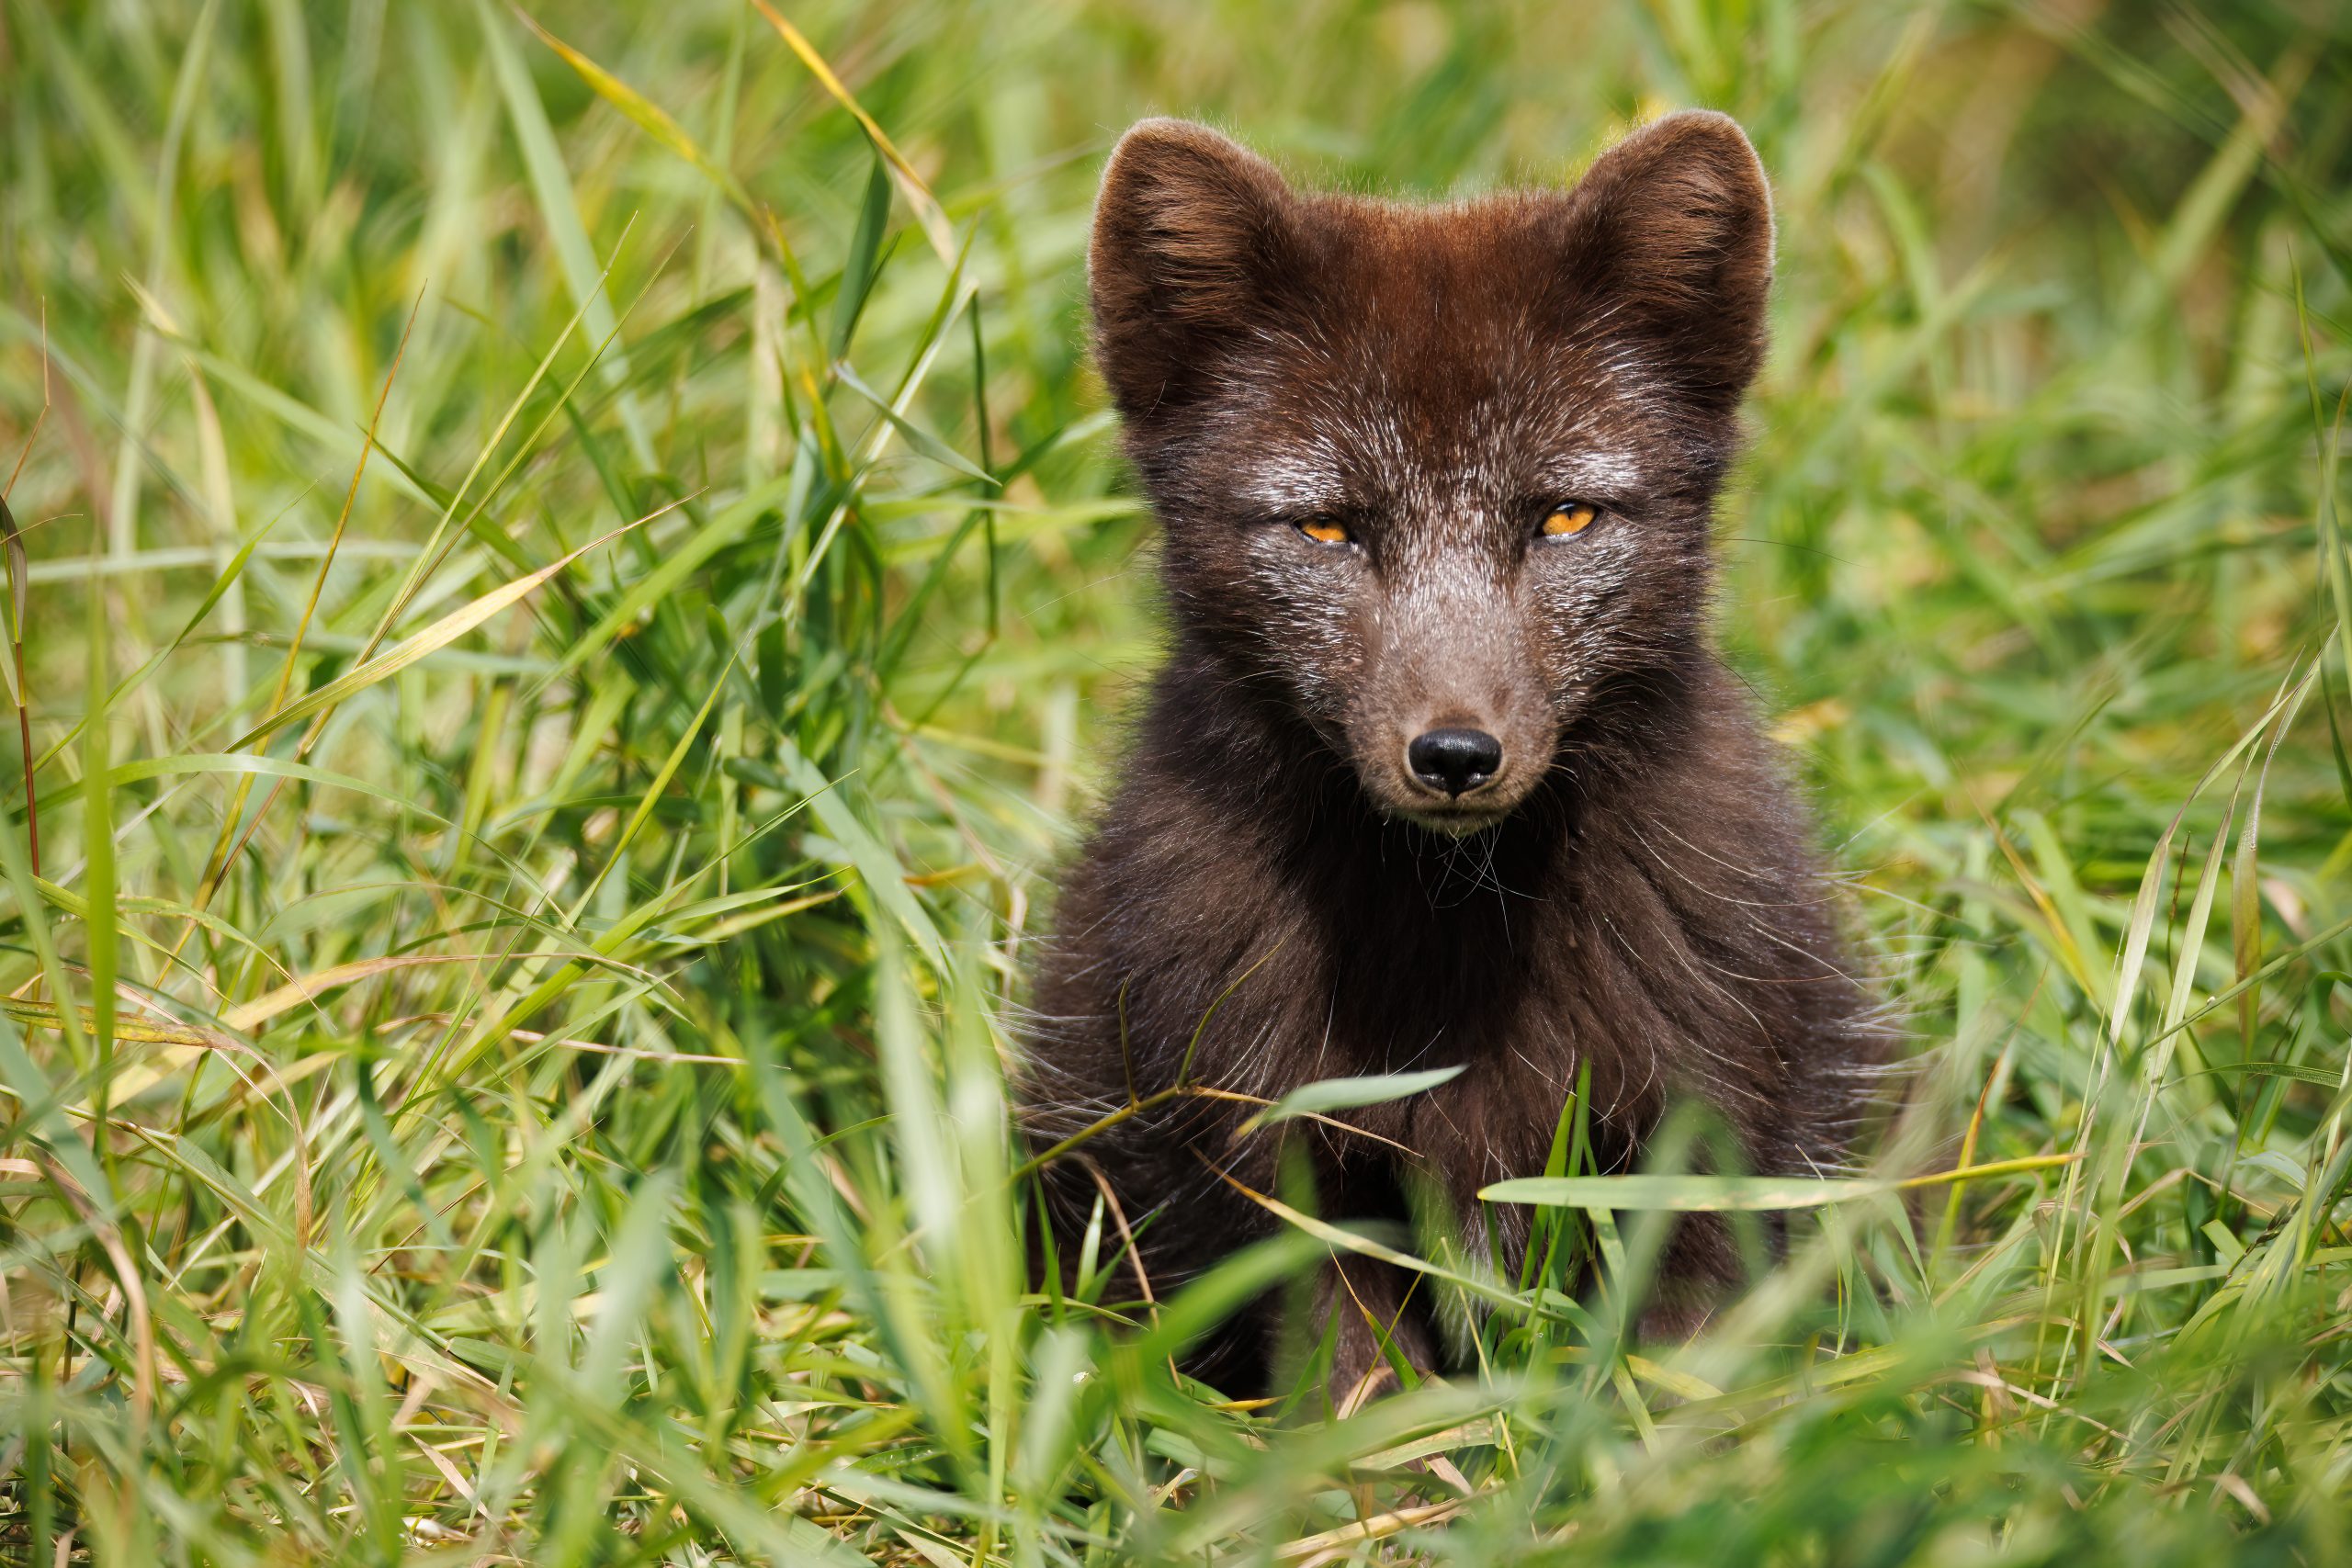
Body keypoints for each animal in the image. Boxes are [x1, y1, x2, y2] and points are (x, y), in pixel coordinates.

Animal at [1021, 111, 1880, 1398]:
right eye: (1326, 525)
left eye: (1565, 517)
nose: (1457, 754)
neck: (1453, 935)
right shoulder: (1279, 1160)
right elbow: (1358, 1392)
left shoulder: (1706, 1127)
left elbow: (1675, 1370)